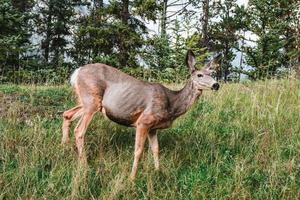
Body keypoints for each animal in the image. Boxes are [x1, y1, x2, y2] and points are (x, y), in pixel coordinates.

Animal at [61, 50, 220, 180]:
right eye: (199, 75)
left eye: (212, 74)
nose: (216, 85)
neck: (172, 104)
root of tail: (76, 73)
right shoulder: (144, 121)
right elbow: (138, 151)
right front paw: (132, 178)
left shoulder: (153, 128)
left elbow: (156, 150)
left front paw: (158, 171)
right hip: (92, 99)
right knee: (79, 130)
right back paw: (84, 165)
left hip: (89, 102)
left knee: (66, 114)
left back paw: (64, 148)